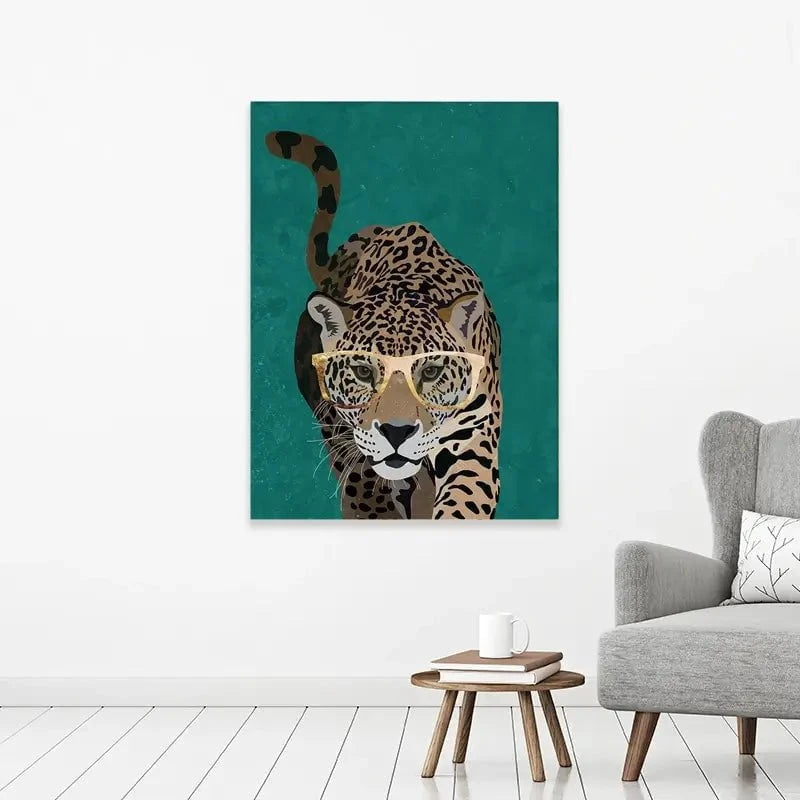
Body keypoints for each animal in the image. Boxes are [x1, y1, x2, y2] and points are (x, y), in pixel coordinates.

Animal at [265, 130, 502, 519]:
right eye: (363, 372)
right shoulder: (351, 441)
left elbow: (463, 503)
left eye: (432, 372)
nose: (397, 432)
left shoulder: (472, 437)